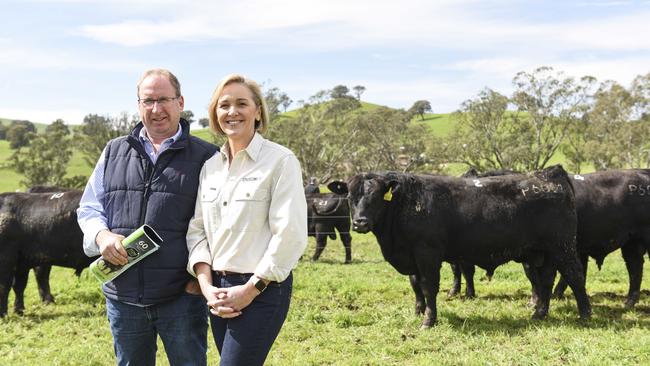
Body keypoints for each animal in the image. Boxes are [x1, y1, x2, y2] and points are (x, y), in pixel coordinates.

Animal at [332, 165, 588, 326]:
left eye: (376, 196)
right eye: (351, 197)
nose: (360, 222)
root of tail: (550, 174)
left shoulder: (427, 254)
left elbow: (428, 287)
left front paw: (429, 320)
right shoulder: (412, 256)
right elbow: (415, 285)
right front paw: (418, 311)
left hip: (562, 247)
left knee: (575, 276)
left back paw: (585, 314)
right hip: (542, 253)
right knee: (545, 281)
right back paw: (539, 314)